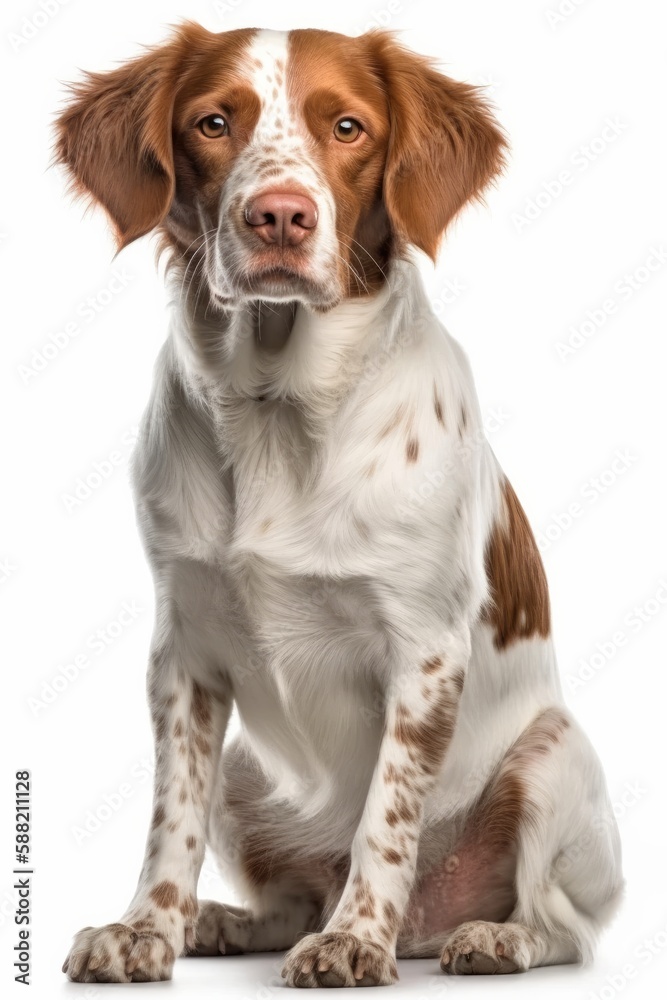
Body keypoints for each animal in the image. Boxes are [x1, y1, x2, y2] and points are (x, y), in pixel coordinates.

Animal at [54, 21, 624, 984]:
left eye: (349, 127)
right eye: (213, 122)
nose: (280, 215)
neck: (277, 407)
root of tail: (430, 924)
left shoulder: (422, 653)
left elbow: (385, 820)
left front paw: (356, 938)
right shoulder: (184, 651)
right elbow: (169, 819)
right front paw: (146, 928)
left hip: (552, 758)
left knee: (562, 926)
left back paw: (489, 937)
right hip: (245, 772)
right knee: (291, 898)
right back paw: (223, 922)